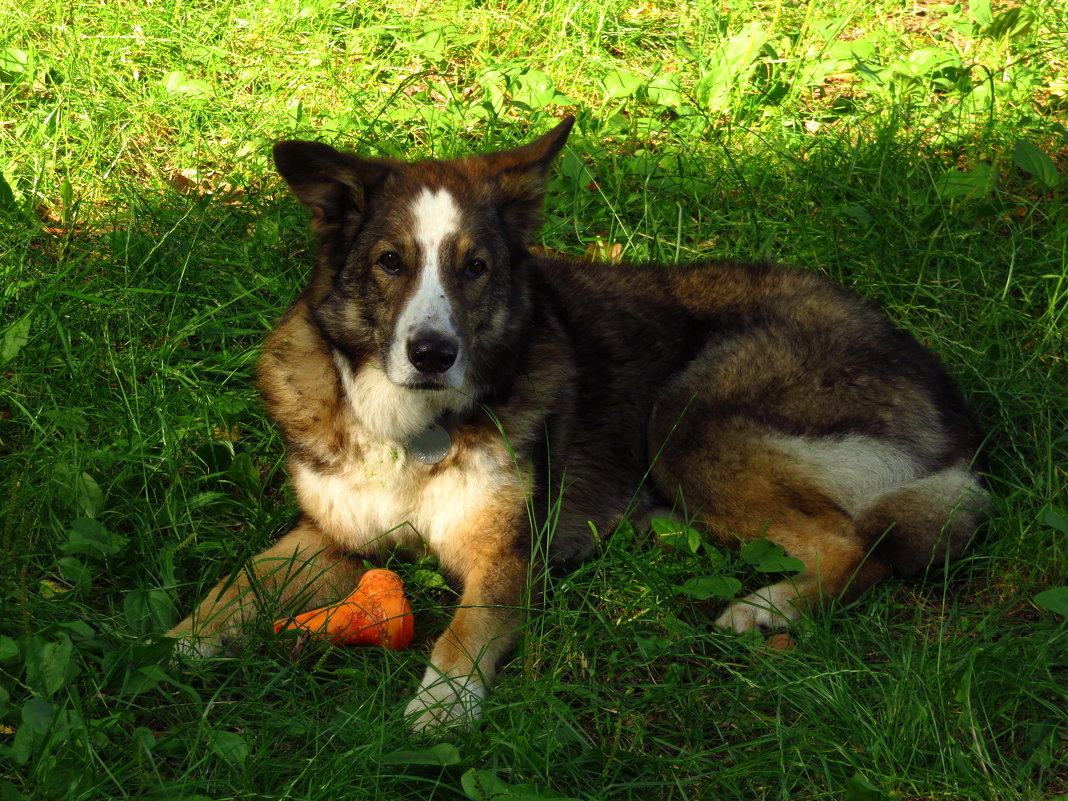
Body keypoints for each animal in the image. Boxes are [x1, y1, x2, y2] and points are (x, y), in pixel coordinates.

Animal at [162, 114, 986, 734]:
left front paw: (444, 702)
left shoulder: (505, 554)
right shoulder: (331, 533)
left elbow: (466, 628)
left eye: (476, 267)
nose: (433, 353)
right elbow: (240, 583)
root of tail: (950, 407)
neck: (412, 426)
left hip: (691, 420)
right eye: (390, 261)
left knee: (859, 546)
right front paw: (173, 646)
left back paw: (765, 607)